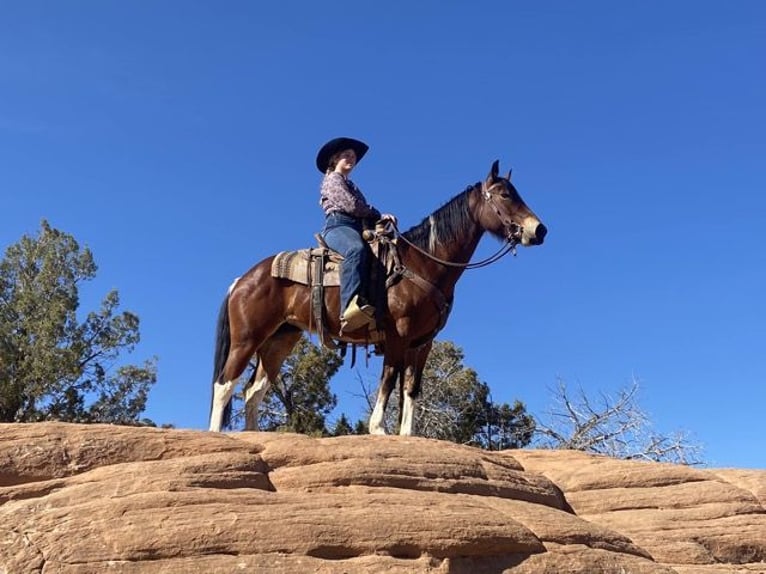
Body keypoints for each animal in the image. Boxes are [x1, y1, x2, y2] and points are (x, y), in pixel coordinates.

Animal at [208, 160, 544, 434]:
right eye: (505, 195)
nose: (539, 230)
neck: (422, 263)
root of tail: (242, 280)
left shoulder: (422, 343)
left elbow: (411, 387)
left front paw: (407, 435)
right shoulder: (397, 335)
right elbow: (389, 378)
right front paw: (378, 428)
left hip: (279, 341)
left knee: (253, 391)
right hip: (246, 339)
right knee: (224, 384)